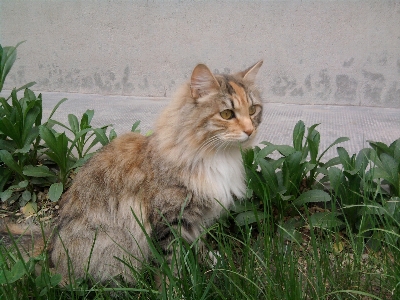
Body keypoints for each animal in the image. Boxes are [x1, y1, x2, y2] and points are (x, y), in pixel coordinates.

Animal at [3, 60, 264, 286]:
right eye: (227, 114)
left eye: (253, 110)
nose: (250, 130)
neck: (215, 156)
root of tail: (52, 245)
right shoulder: (169, 220)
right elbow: (170, 264)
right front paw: (176, 288)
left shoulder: (195, 219)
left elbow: (197, 245)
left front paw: (208, 261)